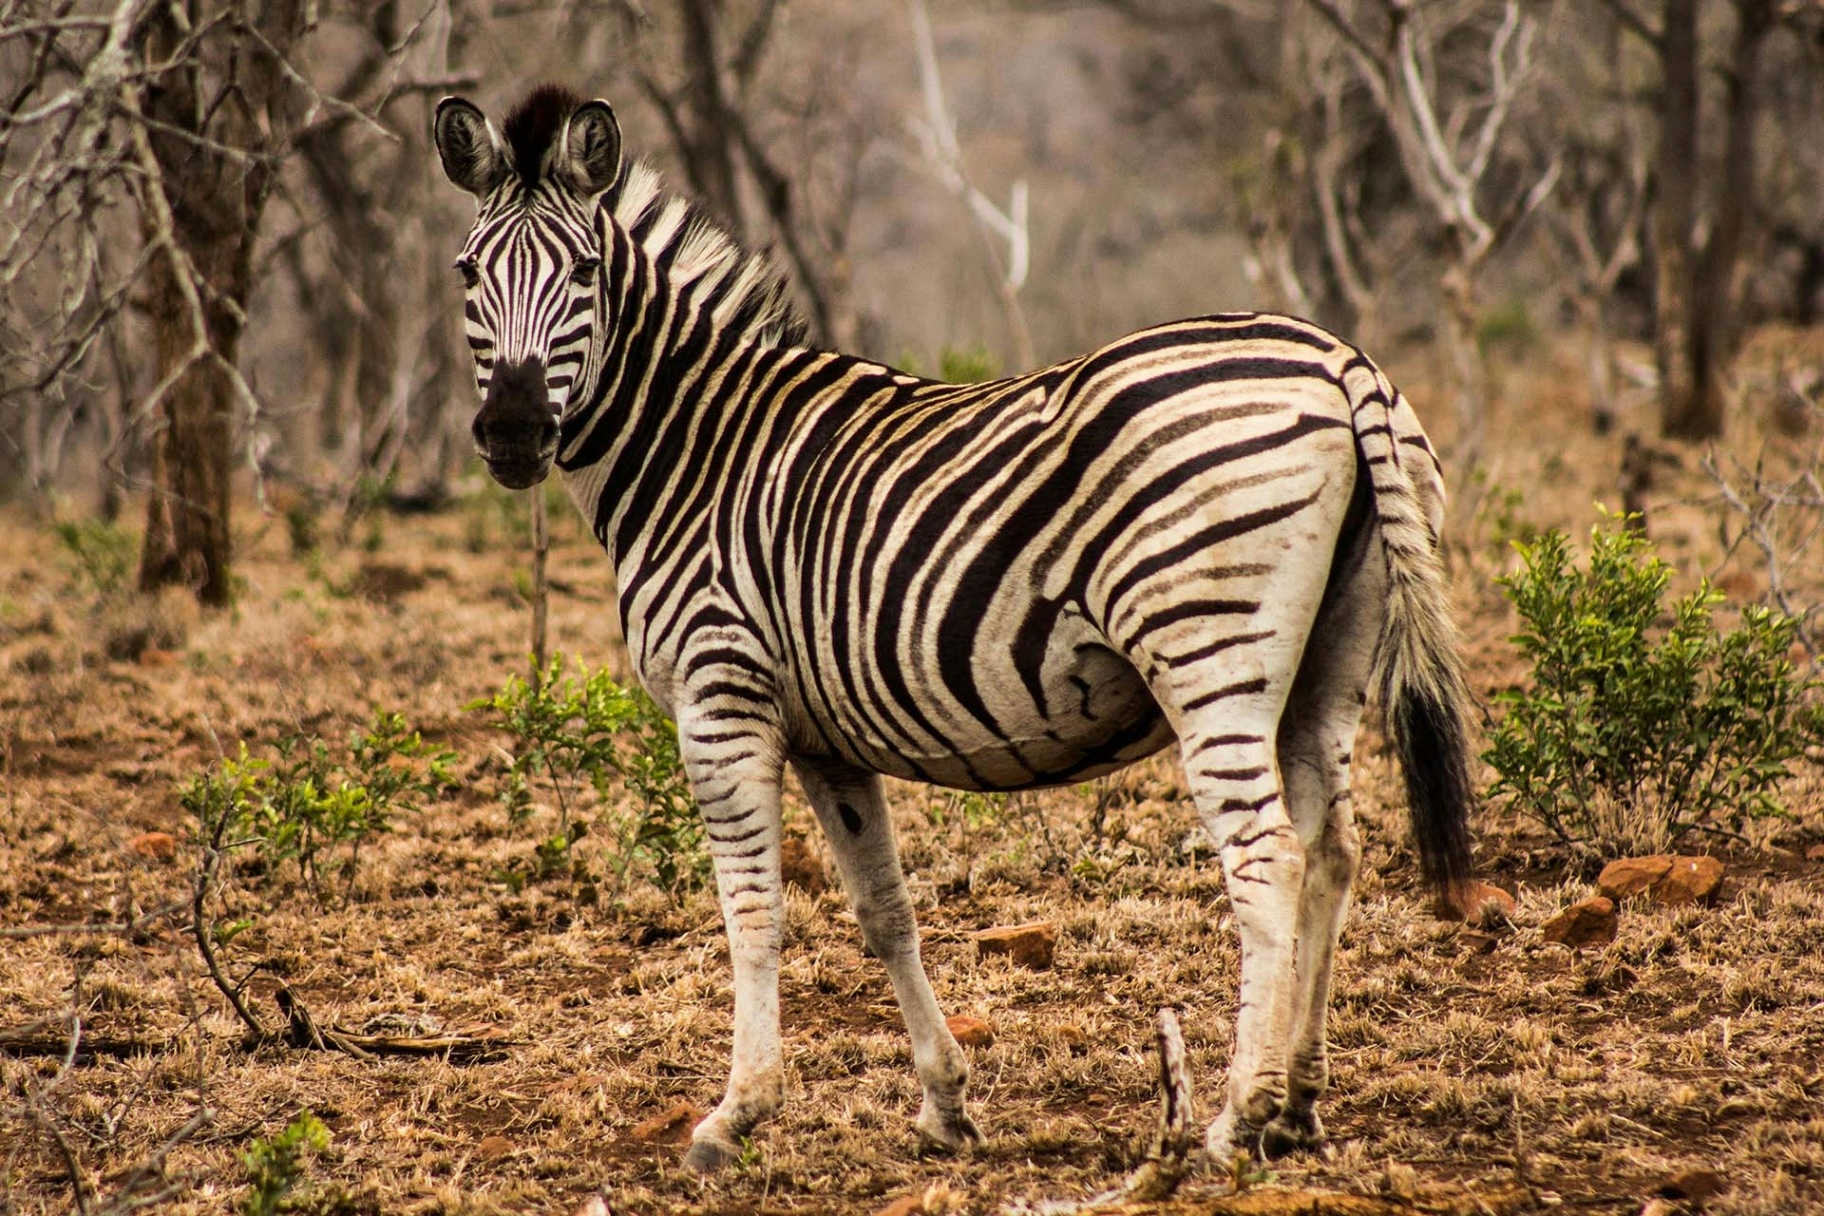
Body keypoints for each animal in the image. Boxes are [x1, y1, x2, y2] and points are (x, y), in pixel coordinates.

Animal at [434, 83, 1473, 1166]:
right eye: (467, 273)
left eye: (584, 272)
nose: (511, 434)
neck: (695, 449)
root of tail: (1340, 359)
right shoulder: (823, 735)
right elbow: (883, 910)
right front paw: (944, 1103)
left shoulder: (720, 695)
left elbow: (752, 912)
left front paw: (737, 1113)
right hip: (1331, 660)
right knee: (1332, 851)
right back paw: (1301, 1099)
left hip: (1206, 647)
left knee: (1267, 858)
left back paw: (1239, 1113)